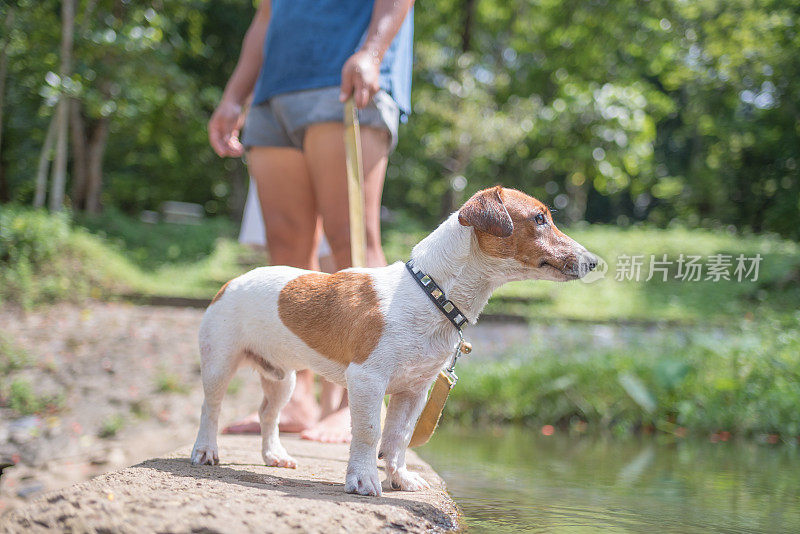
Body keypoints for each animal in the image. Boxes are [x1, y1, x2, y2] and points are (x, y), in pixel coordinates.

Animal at [192, 187, 592, 498]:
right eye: (539, 219)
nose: (593, 262)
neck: (431, 292)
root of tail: (231, 282)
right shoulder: (367, 380)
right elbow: (370, 433)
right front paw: (363, 479)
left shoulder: (414, 390)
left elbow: (398, 437)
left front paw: (400, 479)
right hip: (219, 363)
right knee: (211, 407)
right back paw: (206, 450)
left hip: (282, 378)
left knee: (268, 414)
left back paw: (273, 455)